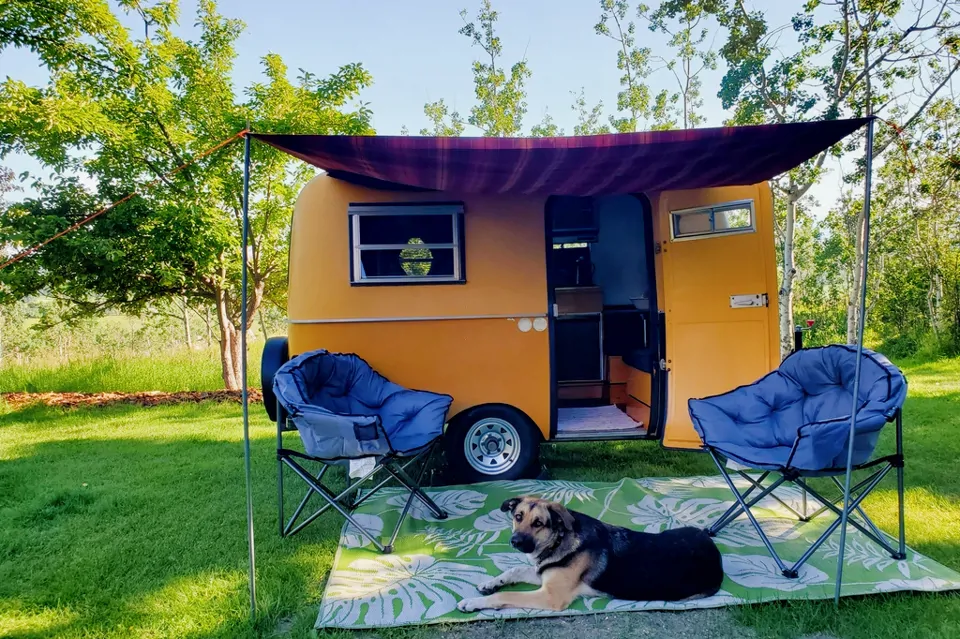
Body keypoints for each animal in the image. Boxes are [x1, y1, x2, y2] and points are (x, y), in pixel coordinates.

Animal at [458, 498, 720, 612]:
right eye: (518, 517)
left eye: (539, 523)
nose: (515, 541)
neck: (560, 539)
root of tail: (713, 547)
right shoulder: (544, 574)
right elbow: (515, 569)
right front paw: (490, 583)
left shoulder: (551, 596)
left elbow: (506, 595)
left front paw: (473, 602)